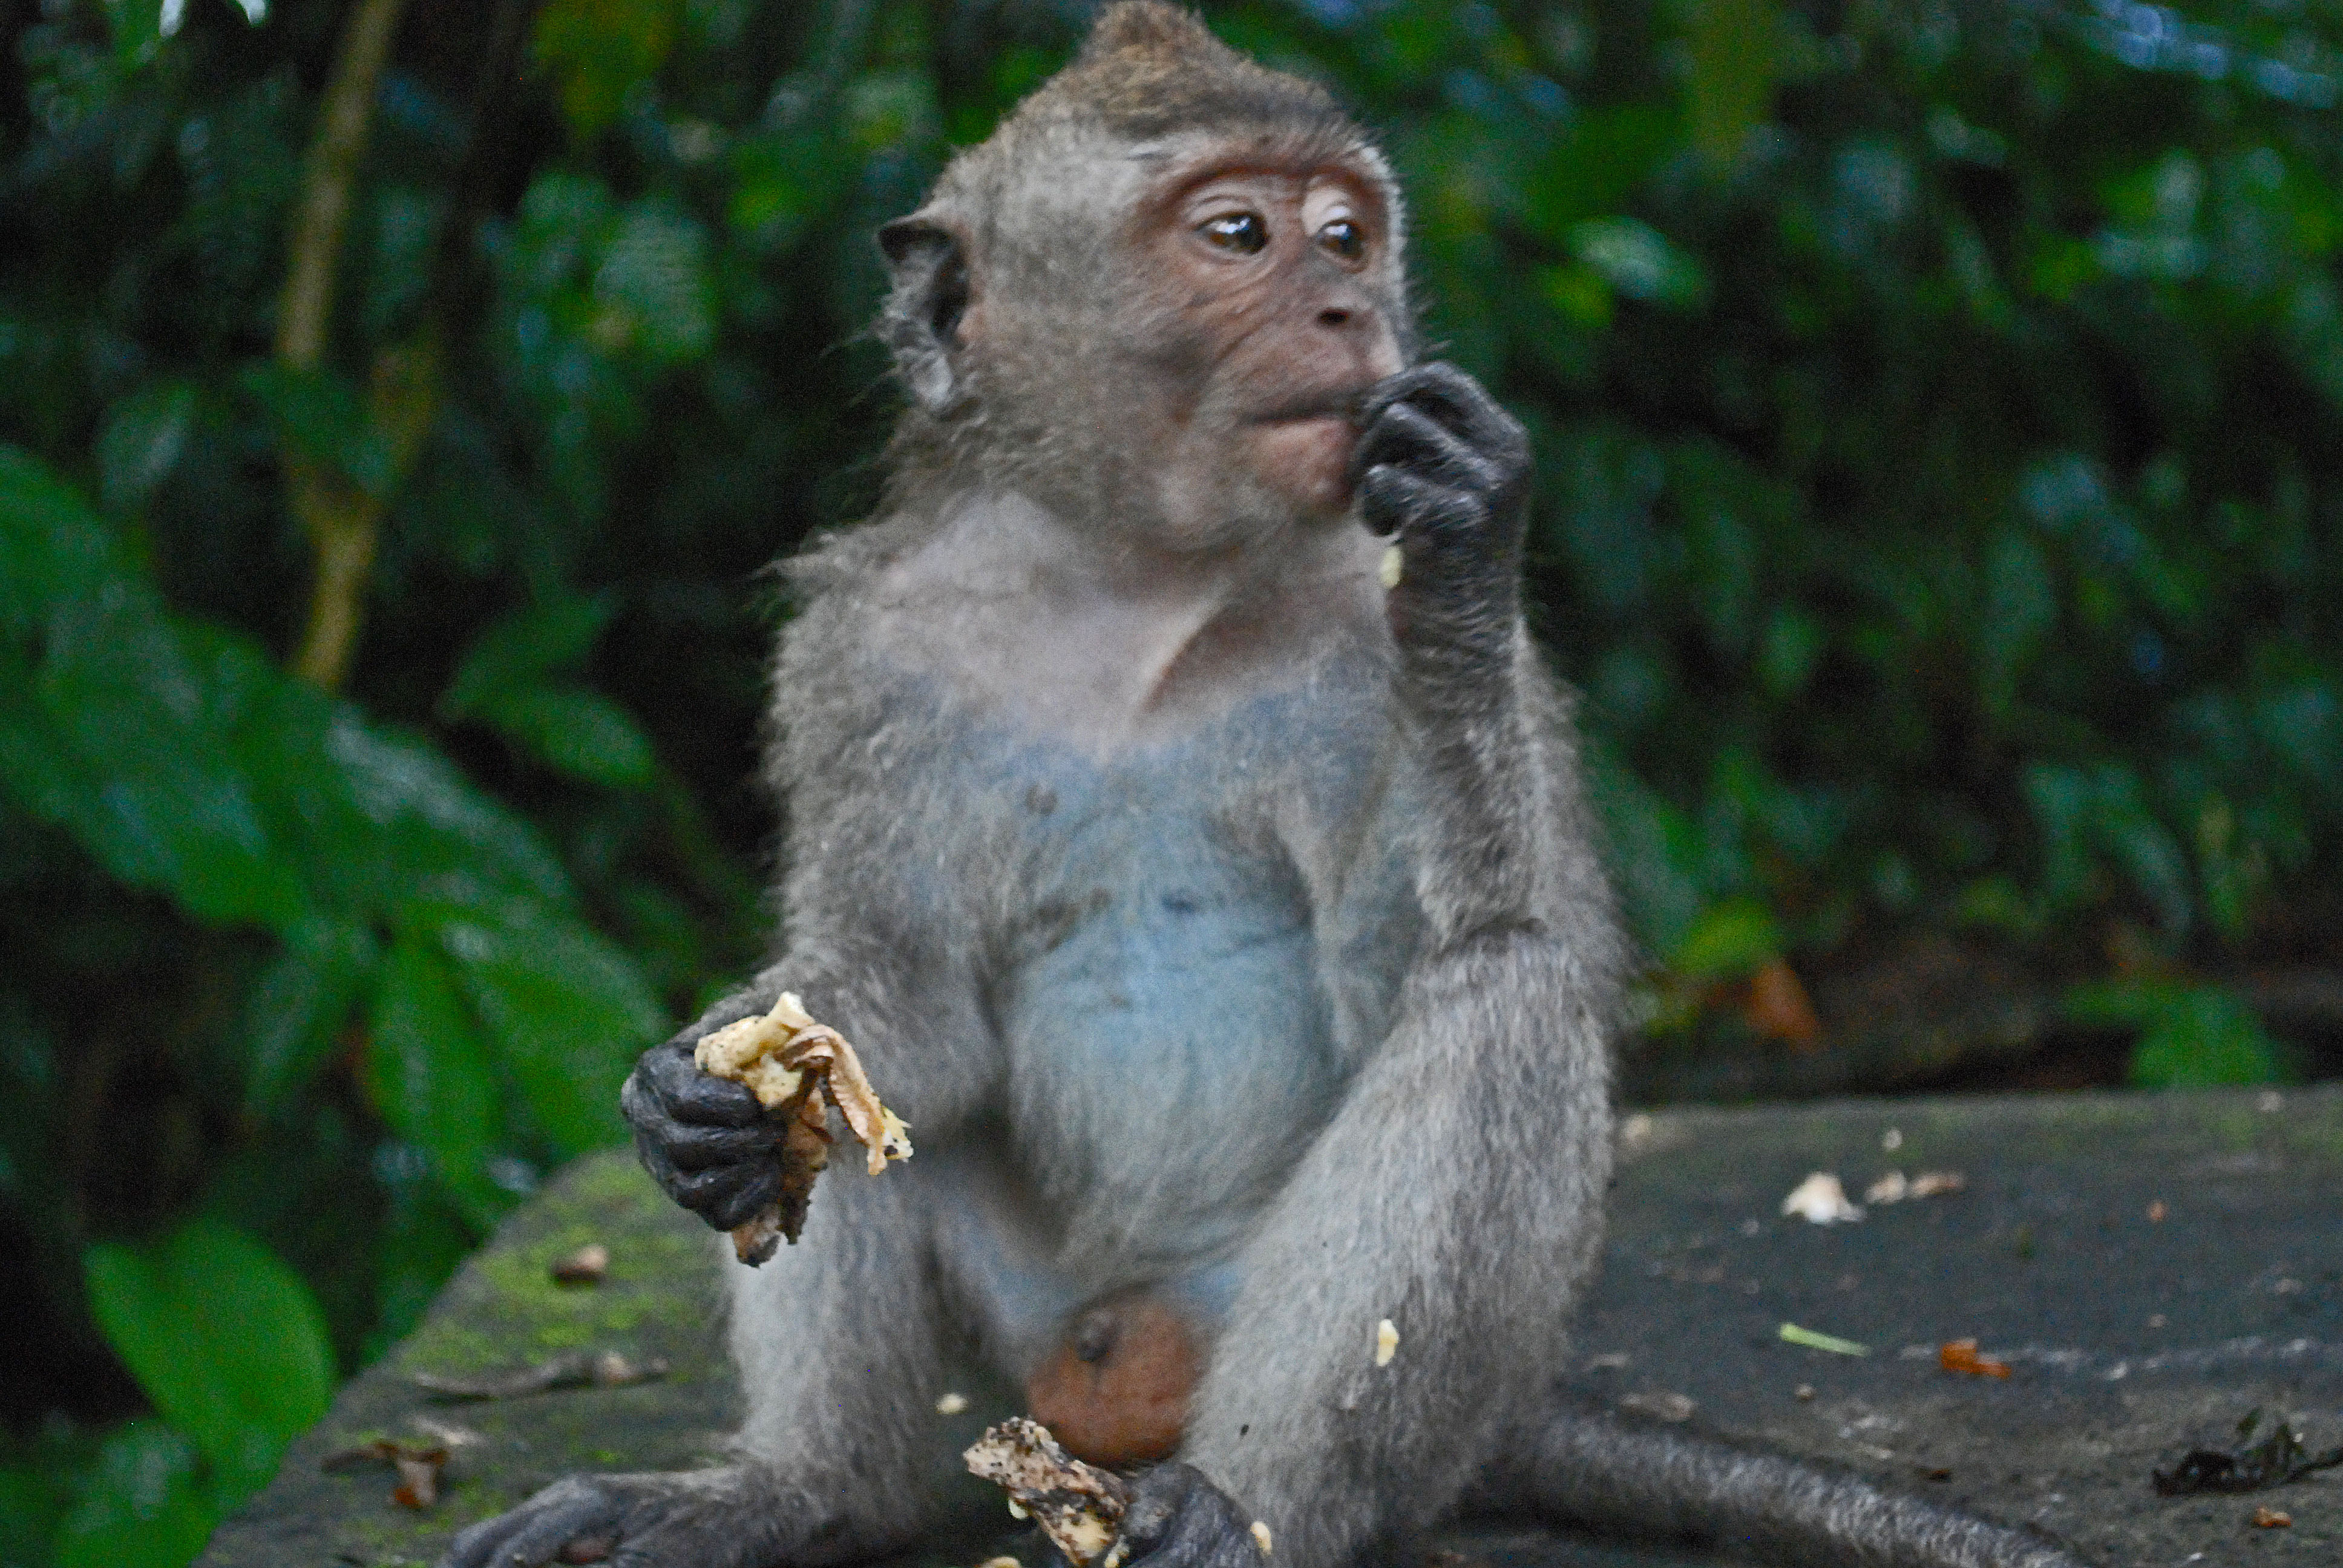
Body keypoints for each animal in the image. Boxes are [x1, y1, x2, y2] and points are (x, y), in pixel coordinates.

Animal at [442, 12, 2089, 1566]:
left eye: (1346, 233)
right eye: (1240, 234)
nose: (1350, 309)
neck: (1130, 588)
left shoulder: (1359, 634)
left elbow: (1438, 960)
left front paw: (1466, 551)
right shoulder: (862, 651)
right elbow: (898, 998)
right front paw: (697, 1097)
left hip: (1344, 1365)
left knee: (1498, 1000)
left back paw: (1241, 1509)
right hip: (1030, 1320)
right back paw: (808, 1494)